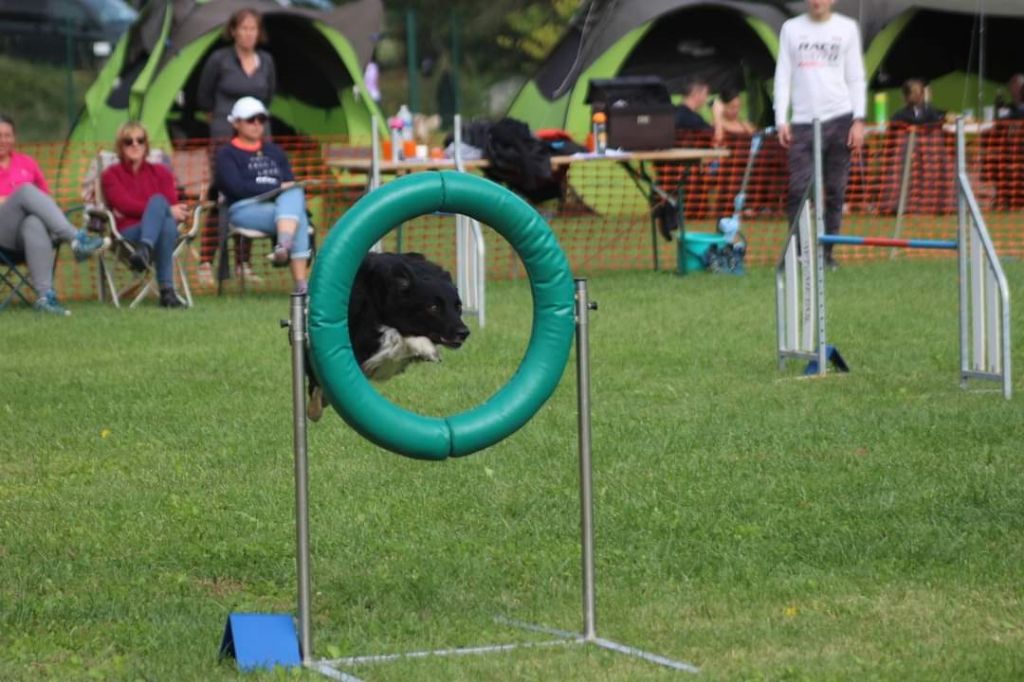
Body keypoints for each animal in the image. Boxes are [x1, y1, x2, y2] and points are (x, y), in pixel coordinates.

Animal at [305, 250, 468, 419]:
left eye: (458, 306)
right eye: (433, 307)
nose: (464, 332)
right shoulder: (365, 335)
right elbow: (395, 335)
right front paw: (427, 348)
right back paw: (314, 408)